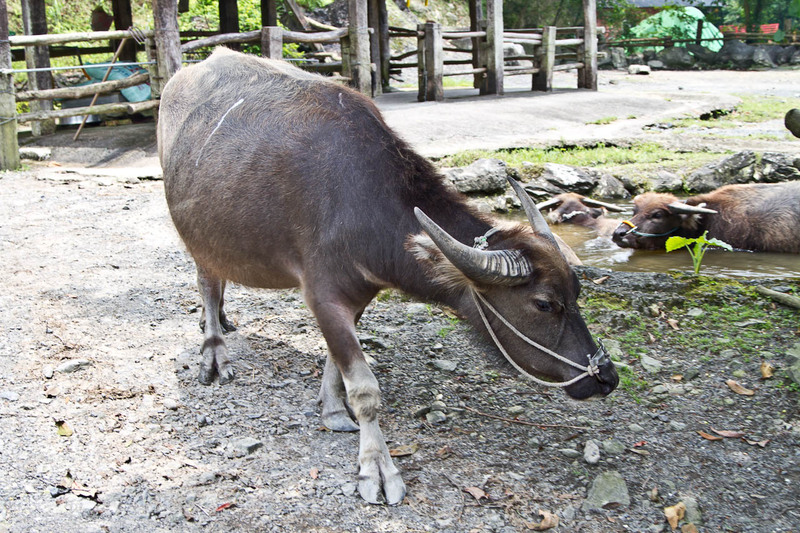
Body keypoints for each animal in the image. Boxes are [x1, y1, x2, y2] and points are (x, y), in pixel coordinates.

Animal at [158, 47, 620, 504]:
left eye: (576, 292)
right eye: (543, 303)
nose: (608, 377)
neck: (362, 206)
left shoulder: (359, 296)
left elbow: (335, 364)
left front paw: (331, 407)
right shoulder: (323, 295)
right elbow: (364, 389)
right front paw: (376, 467)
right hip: (198, 238)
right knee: (207, 283)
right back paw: (214, 351)